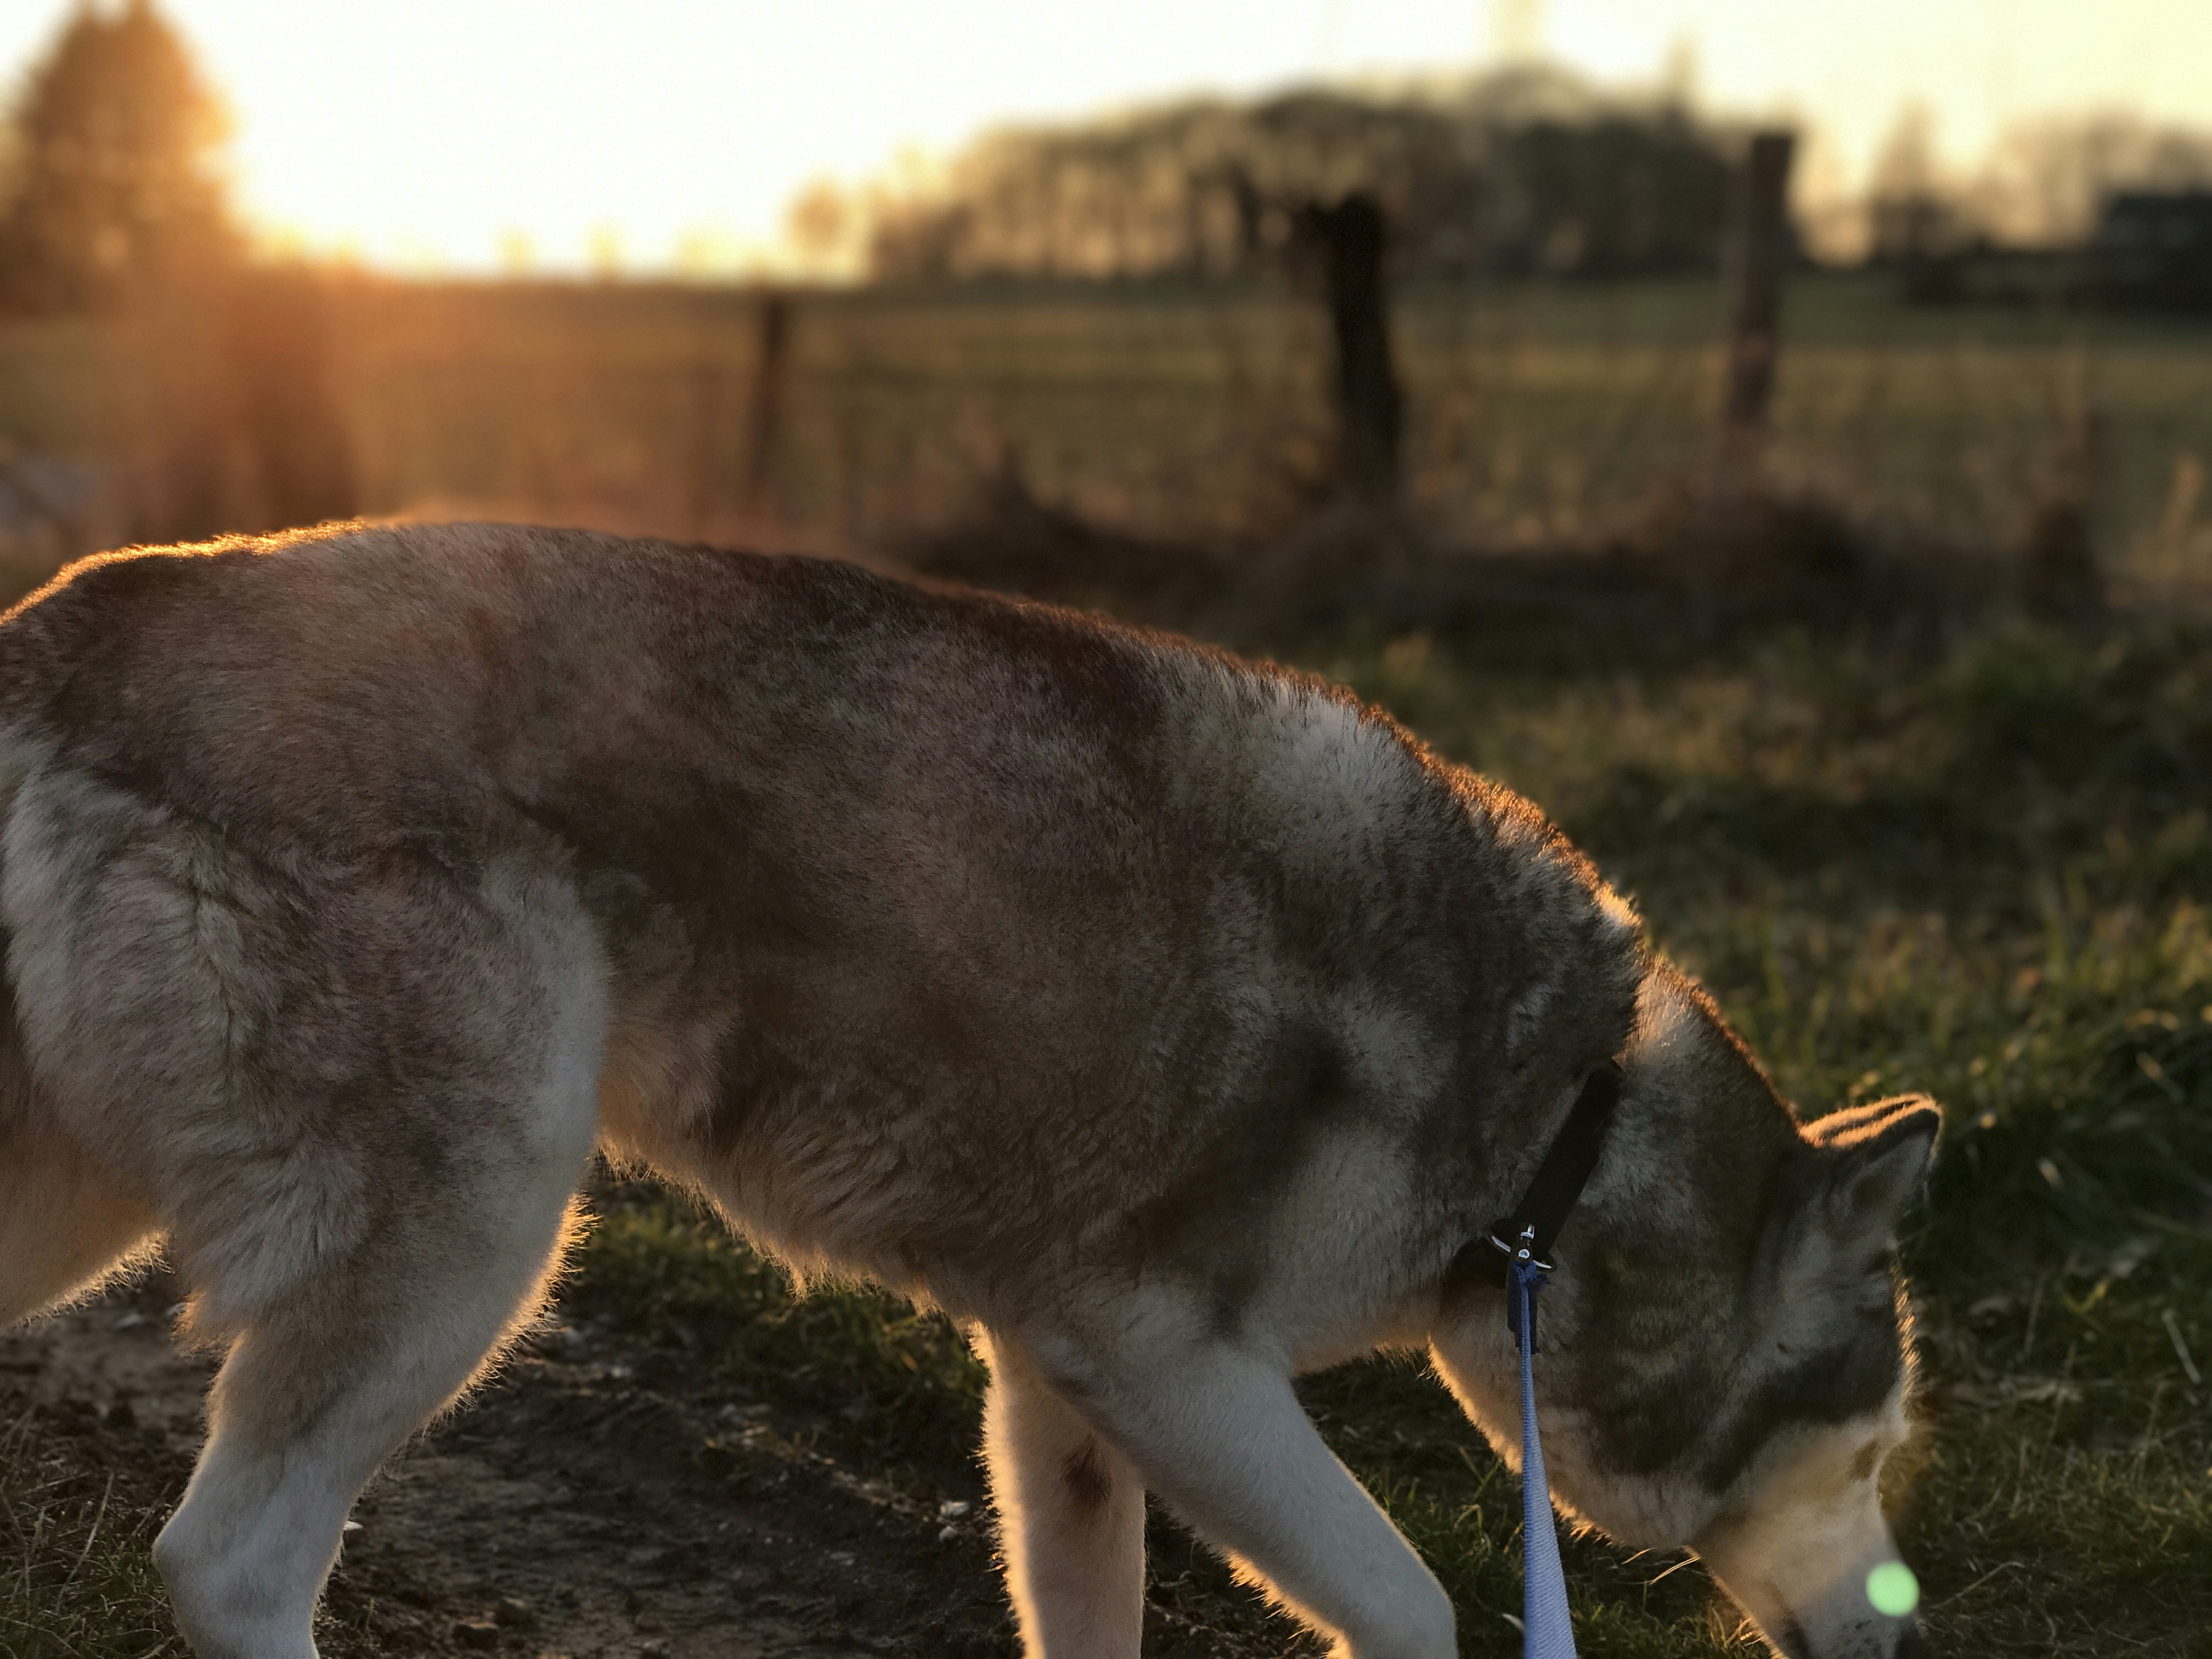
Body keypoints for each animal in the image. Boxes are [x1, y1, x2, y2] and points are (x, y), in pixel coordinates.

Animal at [0, 522, 1936, 1659]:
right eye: (1868, 1455)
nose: (1911, 1638)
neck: (1563, 1144)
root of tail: (72, 623)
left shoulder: (1060, 1385)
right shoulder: (1167, 1362)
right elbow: (1411, 1607)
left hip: (90, 1204)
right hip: (478, 1229)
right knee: (235, 1561)